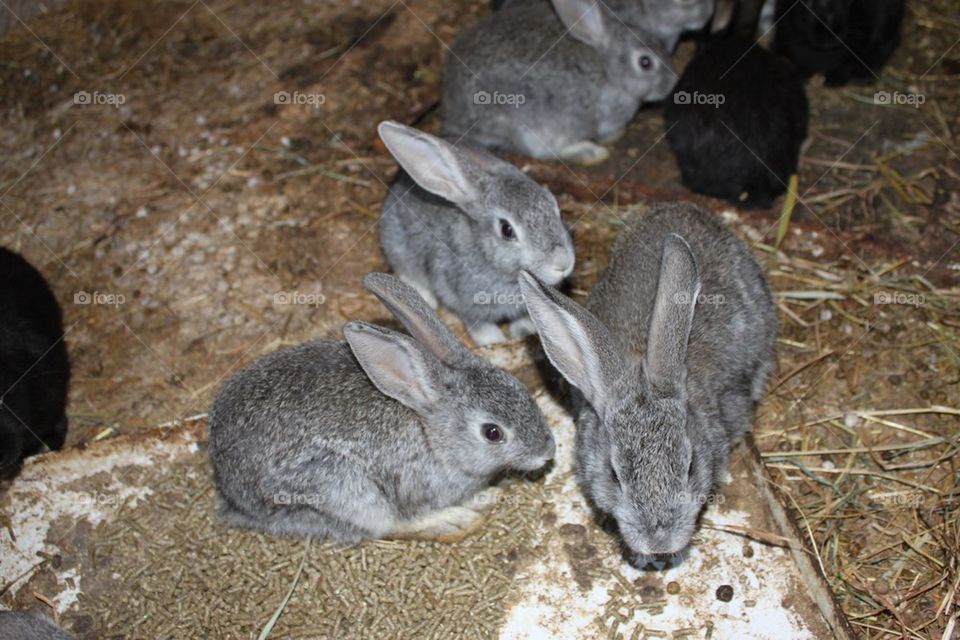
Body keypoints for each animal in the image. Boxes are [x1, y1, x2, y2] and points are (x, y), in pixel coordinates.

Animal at [208, 272, 555, 543]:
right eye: (492, 432)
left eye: (519, 386)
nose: (547, 451)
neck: (432, 433)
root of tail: (232, 491)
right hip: (341, 489)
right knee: (384, 525)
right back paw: (457, 519)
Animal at [378, 120, 575, 346]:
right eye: (507, 230)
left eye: (557, 209)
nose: (563, 263)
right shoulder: (464, 299)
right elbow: (478, 323)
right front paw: (492, 339)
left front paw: (525, 329)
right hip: (397, 244)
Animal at [442, 0, 675, 165]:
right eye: (645, 62)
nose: (671, 83)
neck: (606, 70)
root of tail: (452, 114)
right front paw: (612, 138)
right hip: (525, 124)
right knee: (543, 151)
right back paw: (590, 152)